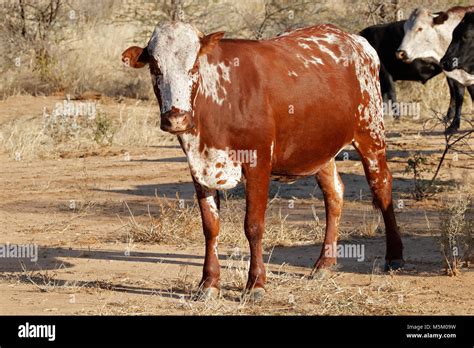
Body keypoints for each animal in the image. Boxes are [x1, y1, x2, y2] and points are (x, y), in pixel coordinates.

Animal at [123, 21, 404, 300]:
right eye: (155, 68)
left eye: (193, 68)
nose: (175, 118)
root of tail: (355, 39)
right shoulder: (200, 167)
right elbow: (211, 226)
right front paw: (209, 283)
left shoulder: (258, 163)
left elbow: (253, 225)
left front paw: (256, 283)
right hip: (320, 148)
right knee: (334, 194)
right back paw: (324, 264)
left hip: (371, 134)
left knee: (382, 187)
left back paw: (395, 257)